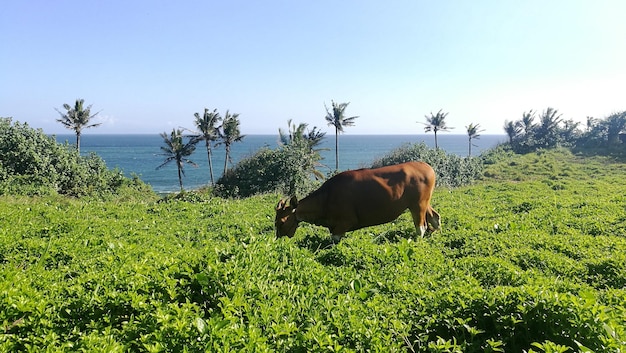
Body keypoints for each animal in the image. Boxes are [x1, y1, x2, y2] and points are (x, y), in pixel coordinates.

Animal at [272, 161, 438, 241]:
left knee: (421, 227)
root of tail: (426, 166)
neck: (326, 198)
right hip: (424, 203)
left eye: (282, 221)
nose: (278, 239)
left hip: (417, 205)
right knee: (435, 217)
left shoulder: (343, 224)